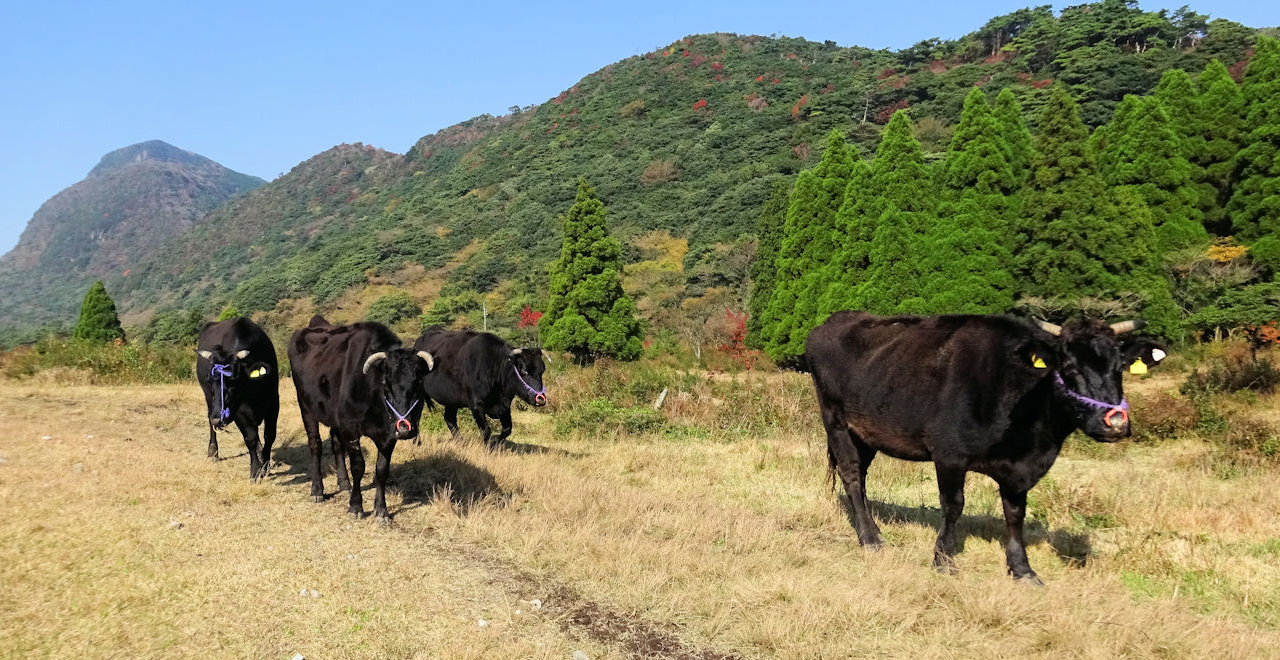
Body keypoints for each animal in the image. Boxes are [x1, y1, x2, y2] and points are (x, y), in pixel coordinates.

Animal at [193, 314, 279, 478]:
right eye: (210, 380)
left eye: (233, 379)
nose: (217, 419)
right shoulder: (238, 410)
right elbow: (250, 438)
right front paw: (255, 471)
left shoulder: (273, 402)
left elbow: (269, 435)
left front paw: (265, 465)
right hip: (208, 399)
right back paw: (213, 451)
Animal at [286, 315, 435, 521]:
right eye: (385, 383)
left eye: (419, 383)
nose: (405, 429)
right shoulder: (350, 428)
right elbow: (358, 466)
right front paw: (356, 506)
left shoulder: (388, 435)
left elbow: (382, 470)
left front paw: (381, 510)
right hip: (306, 408)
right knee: (315, 444)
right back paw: (317, 490)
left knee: (336, 443)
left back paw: (344, 484)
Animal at [412, 327, 547, 445]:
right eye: (524, 370)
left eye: (542, 370)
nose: (540, 399)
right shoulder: (476, 405)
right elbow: (486, 430)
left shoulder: (504, 406)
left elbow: (507, 429)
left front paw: (495, 444)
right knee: (416, 419)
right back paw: (417, 442)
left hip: (451, 399)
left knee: (449, 418)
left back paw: (460, 442)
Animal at [808, 314, 1172, 583]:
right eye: (1068, 369)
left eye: (1119, 368)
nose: (1116, 423)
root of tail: (835, 320)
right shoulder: (949, 453)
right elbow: (953, 506)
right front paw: (943, 560)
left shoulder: (1019, 471)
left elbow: (1015, 514)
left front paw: (1022, 569)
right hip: (836, 421)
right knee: (851, 475)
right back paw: (871, 539)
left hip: (866, 433)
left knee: (861, 477)